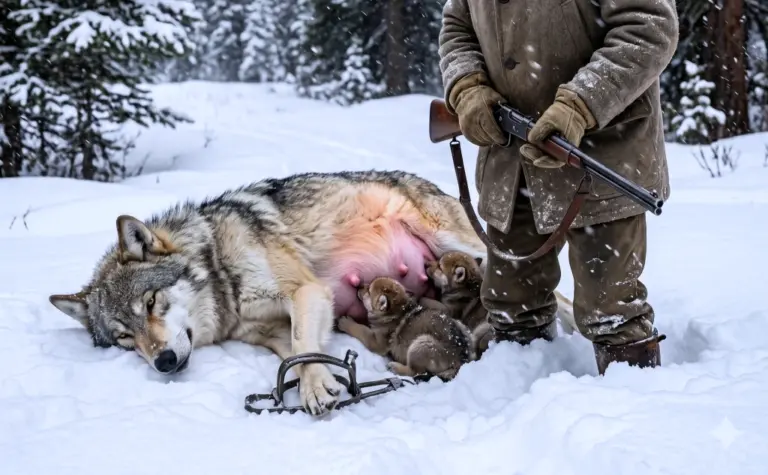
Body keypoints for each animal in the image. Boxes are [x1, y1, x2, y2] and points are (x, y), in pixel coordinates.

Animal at [48, 170, 575, 416]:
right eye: (124, 338)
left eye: (152, 304)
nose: (163, 363)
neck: (221, 270)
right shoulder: (269, 332)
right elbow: (300, 355)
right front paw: (325, 381)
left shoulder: (307, 292)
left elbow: (305, 344)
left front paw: (318, 390)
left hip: (469, 248)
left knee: (559, 301)